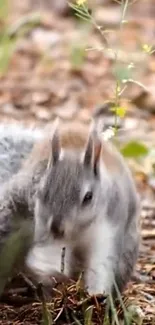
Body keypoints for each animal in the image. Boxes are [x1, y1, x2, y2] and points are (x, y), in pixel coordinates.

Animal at [0, 116, 140, 296]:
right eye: (41, 191)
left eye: (88, 197)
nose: (56, 228)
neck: (79, 230)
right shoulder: (44, 226)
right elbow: (49, 254)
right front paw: (49, 272)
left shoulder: (109, 227)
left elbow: (101, 265)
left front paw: (95, 295)